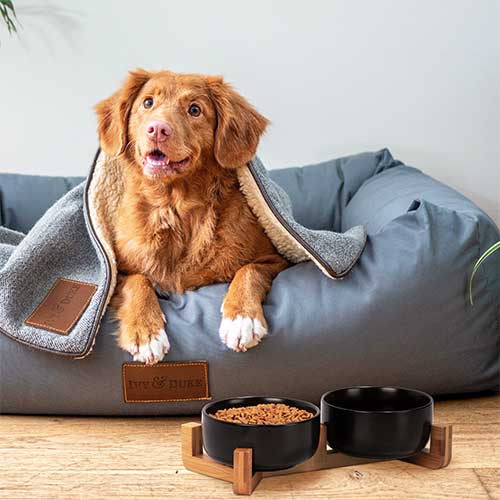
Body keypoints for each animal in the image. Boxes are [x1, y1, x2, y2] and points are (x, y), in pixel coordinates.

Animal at [94, 70, 290, 364]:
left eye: (195, 110)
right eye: (148, 103)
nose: (157, 129)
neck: (175, 206)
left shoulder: (275, 259)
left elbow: (249, 270)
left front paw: (241, 319)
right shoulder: (117, 272)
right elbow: (138, 281)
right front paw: (146, 332)